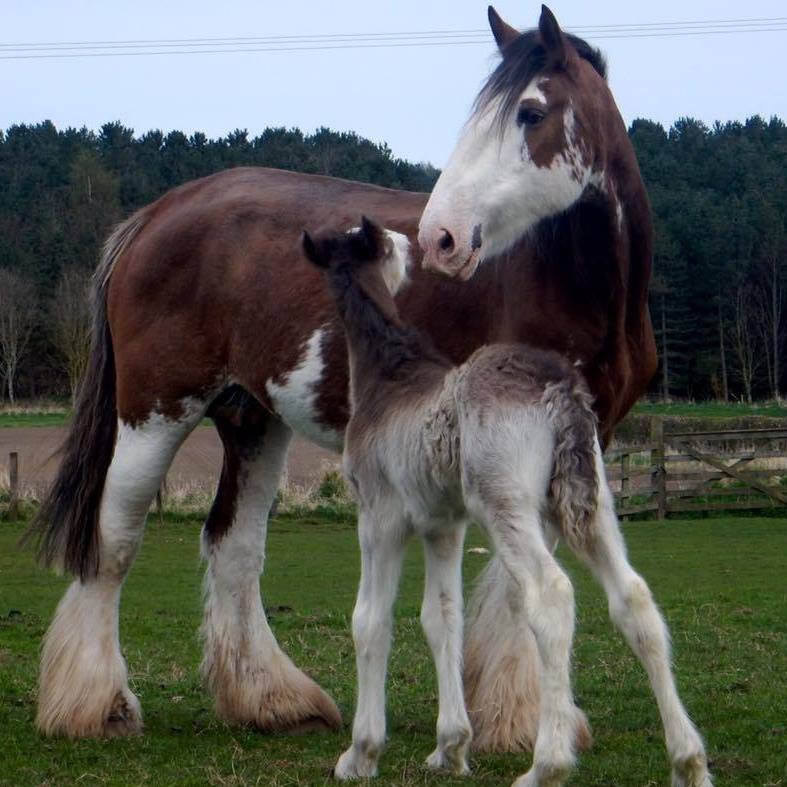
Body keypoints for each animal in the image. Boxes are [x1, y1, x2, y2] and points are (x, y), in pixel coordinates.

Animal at [29, 6, 660, 756]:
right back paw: (97, 706)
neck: (569, 279)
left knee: (233, 546)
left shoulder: (582, 439)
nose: (440, 239)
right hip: (155, 411)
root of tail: (156, 214)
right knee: (116, 541)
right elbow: (516, 584)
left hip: (252, 420)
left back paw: (271, 700)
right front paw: (520, 719)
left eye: (530, 113)